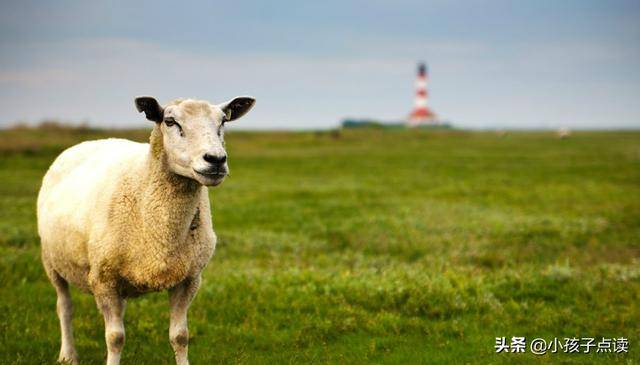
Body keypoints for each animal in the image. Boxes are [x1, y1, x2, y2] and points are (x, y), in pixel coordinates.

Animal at [37, 95, 255, 362]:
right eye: (170, 121)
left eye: (223, 121)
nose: (216, 160)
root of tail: (88, 143)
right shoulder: (103, 278)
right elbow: (115, 337)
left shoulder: (189, 278)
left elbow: (180, 336)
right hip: (52, 261)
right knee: (64, 307)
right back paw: (68, 355)